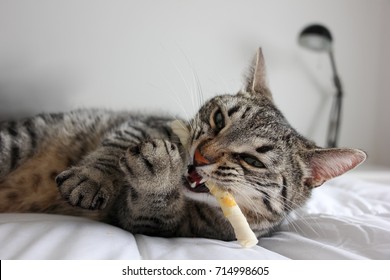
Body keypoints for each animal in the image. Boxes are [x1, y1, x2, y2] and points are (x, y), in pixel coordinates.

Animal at [0, 49, 366, 243]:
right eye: (219, 119)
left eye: (253, 161)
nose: (201, 155)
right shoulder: (141, 123)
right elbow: (113, 148)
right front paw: (94, 177)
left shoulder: (152, 226)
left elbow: (151, 208)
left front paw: (159, 176)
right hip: (20, 138)